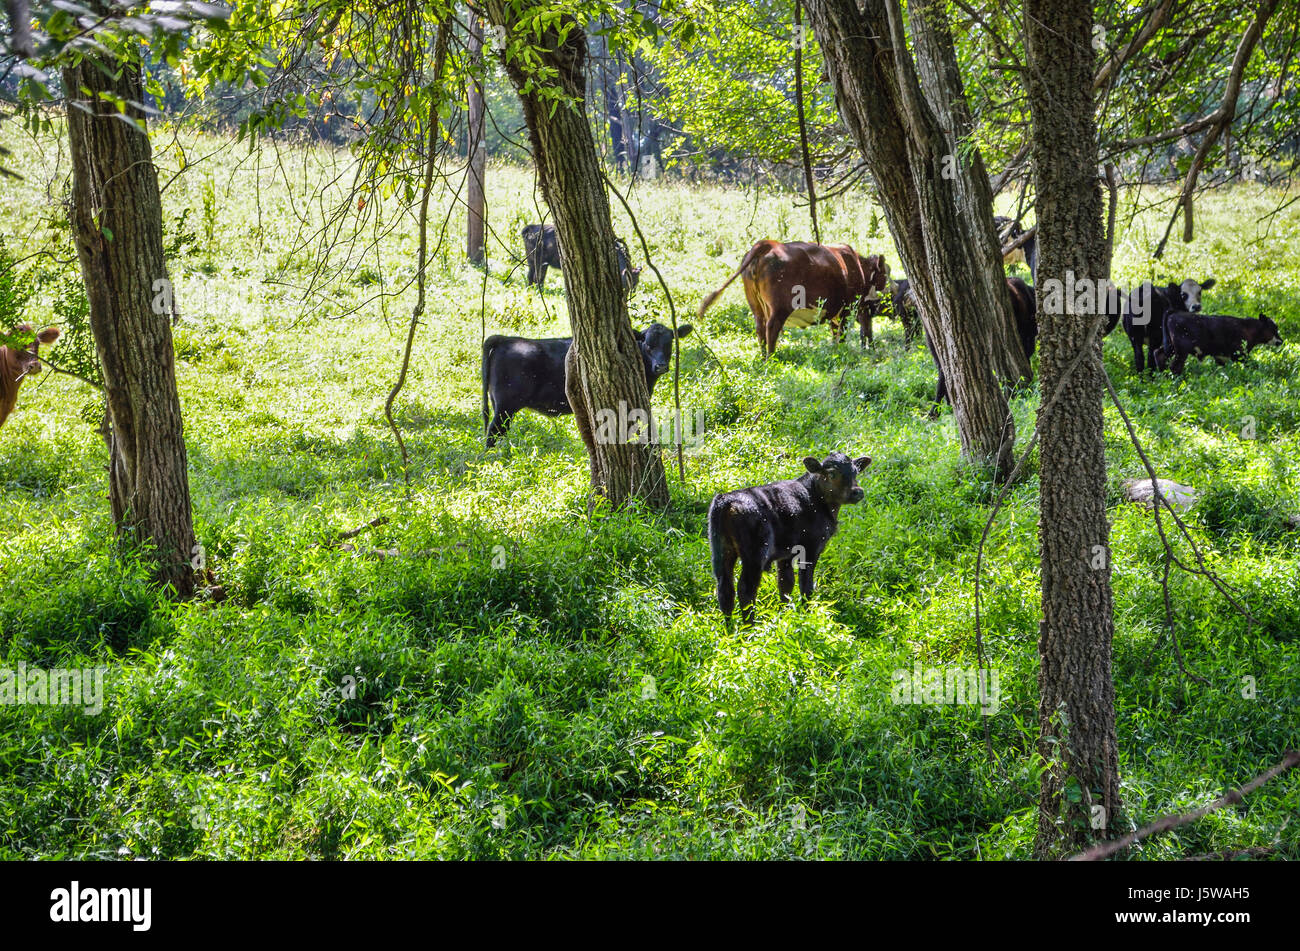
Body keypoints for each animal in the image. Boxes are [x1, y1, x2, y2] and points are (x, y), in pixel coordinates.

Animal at [482, 321, 692, 447]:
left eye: (669, 344)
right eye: (648, 345)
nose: (661, 366)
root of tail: (506, 339)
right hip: (506, 406)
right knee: (493, 432)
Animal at [697, 240, 890, 356]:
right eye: (884, 276)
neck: (858, 266)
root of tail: (768, 244)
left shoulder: (836, 312)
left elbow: (836, 332)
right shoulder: (846, 309)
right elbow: (841, 333)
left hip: (756, 305)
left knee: (760, 328)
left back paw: (763, 357)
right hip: (780, 307)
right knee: (772, 328)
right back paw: (771, 358)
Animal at [708, 451, 870, 625]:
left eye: (855, 472)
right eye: (832, 473)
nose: (858, 492)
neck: (815, 497)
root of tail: (726, 499)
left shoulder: (786, 554)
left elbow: (785, 584)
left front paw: (784, 616)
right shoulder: (811, 548)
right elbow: (805, 585)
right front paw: (806, 615)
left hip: (722, 550)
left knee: (725, 589)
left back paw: (730, 629)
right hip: (755, 555)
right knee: (745, 590)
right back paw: (749, 628)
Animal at [1154, 311, 1282, 374]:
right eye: (1274, 328)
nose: (1281, 341)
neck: (1246, 328)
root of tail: (1172, 315)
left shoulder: (1221, 356)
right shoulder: (1238, 354)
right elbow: (1253, 364)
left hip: (1170, 347)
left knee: (1158, 354)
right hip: (1181, 350)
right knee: (1175, 366)